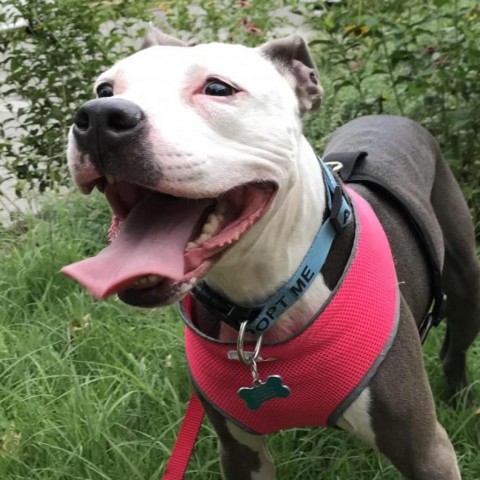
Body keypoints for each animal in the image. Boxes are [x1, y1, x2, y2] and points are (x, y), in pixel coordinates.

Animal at [63, 28, 480, 478]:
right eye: (105, 88)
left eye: (217, 88)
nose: (99, 117)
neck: (263, 304)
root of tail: (390, 117)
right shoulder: (239, 451)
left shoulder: (425, 450)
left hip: (466, 283)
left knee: (454, 347)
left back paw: (462, 402)